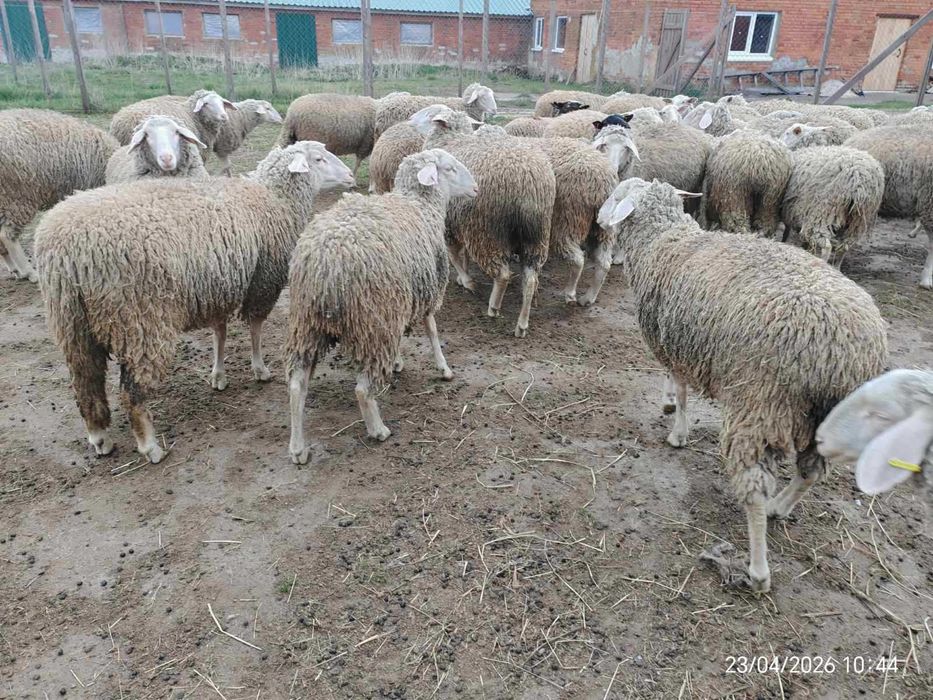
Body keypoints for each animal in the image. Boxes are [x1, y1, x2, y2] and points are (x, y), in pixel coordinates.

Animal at [34, 142, 355, 464]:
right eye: (319, 159)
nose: (351, 176)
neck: (275, 197)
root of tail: (65, 251)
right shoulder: (262, 280)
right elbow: (255, 327)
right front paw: (259, 369)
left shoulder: (218, 286)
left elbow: (219, 332)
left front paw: (218, 375)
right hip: (140, 319)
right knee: (131, 392)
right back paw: (150, 446)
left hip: (72, 323)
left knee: (85, 381)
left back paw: (100, 437)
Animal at [285, 149, 477, 461]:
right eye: (449, 168)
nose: (476, 189)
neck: (421, 205)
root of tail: (326, 263)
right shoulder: (425, 289)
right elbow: (432, 330)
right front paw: (444, 368)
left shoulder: (400, 303)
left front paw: (398, 361)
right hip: (372, 318)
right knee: (363, 389)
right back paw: (378, 430)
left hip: (308, 323)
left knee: (296, 385)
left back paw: (298, 448)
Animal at [417, 107, 556, 337]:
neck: (451, 139)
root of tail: (527, 182)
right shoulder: (460, 220)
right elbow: (462, 254)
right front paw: (462, 277)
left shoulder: (451, 223)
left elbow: (454, 255)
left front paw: (466, 280)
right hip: (537, 235)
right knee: (530, 278)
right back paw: (522, 324)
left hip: (487, 230)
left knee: (503, 275)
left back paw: (493, 307)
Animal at [598, 177, 888, 592]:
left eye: (617, 194)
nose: (598, 218)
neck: (664, 241)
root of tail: (846, 353)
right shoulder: (677, 338)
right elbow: (672, 380)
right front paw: (667, 402)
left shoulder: (678, 344)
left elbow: (683, 393)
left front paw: (677, 431)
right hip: (827, 416)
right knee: (811, 472)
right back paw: (780, 507)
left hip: (760, 402)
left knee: (753, 487)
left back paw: (758, 567)